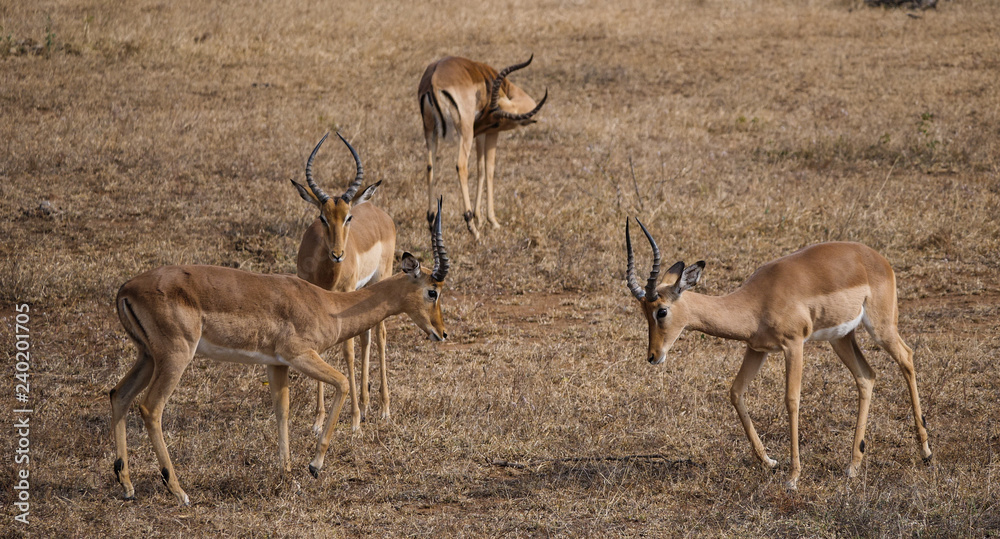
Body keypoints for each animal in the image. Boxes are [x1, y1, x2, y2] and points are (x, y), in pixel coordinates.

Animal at [109, 201, 450, 505]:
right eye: (432, 291)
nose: (443, 332)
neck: (328, 306)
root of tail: (126, 289)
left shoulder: (276, 364)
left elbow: (282, 410)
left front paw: (286, 474)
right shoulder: (300, 355)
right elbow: (340, 382)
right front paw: (314, 465)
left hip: (147, 356)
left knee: (118, 394)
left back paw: (127, 486)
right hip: (175, 357)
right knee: (150, 408)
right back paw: (178, 491)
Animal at [291, 132, 396, 434]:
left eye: (348, 217)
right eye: (322, 217)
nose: (338, 254)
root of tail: (377, 210)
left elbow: (347, 351)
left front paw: (354, 420)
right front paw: (318, 420)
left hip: (380, 279)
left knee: (379, 335)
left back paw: (382, 409)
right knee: (366, 335)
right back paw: (368, 404)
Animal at [419, 55, 548, 240]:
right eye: (496, 122)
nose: (477, 126)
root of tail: (433, 81)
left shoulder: (481, 135)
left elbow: (480, 169)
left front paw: (479, 217)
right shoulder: (491, 134)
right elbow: (489, 170)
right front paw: (492, 221)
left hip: (430, 130)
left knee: (430, 167)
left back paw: (431, 222)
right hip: (465, 131)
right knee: (461, 165)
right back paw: (472, 228)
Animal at [624, 218, 932, 489]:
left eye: (661, 311)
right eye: (643, 312)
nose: (653, 356)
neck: (756, 301)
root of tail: (877, 258)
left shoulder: (793, 345)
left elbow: (791, 400)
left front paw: (793, 478)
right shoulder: (756, 349)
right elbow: (735, 392)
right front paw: (769, 462)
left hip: (881, 328)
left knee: (907, 357)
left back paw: (926, 453)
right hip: (841, 338)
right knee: (866, 377)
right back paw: (853, 466)